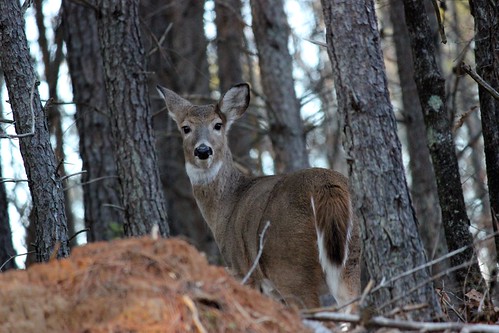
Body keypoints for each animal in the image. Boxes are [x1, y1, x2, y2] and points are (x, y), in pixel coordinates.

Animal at [157, 82, 360, 308]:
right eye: (186, 128)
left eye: (218, 125)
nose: (203, 150)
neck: (228, 205)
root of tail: (326, 187)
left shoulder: (243, 271)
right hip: (350, 263)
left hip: (291, 268)